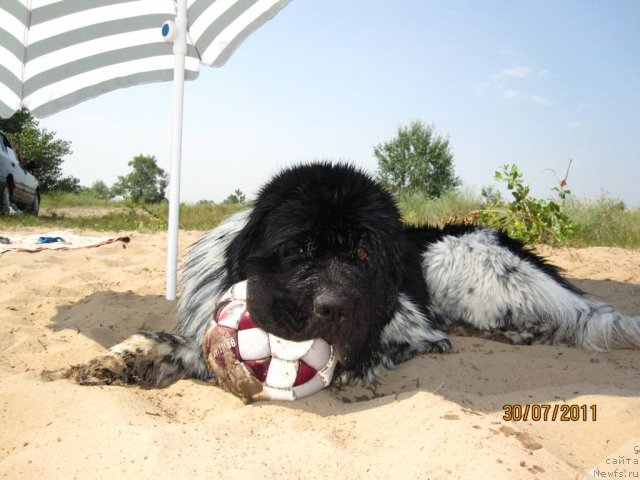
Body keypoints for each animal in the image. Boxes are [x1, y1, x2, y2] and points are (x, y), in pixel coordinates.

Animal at [67, 161, 640, 390]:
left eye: (364, 254)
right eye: (297, 249)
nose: (333, 307)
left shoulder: (407, 321)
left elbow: (396, 340)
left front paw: (358, 364)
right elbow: (161, 341)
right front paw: (113, 362)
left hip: (449, 256)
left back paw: (518, 331)